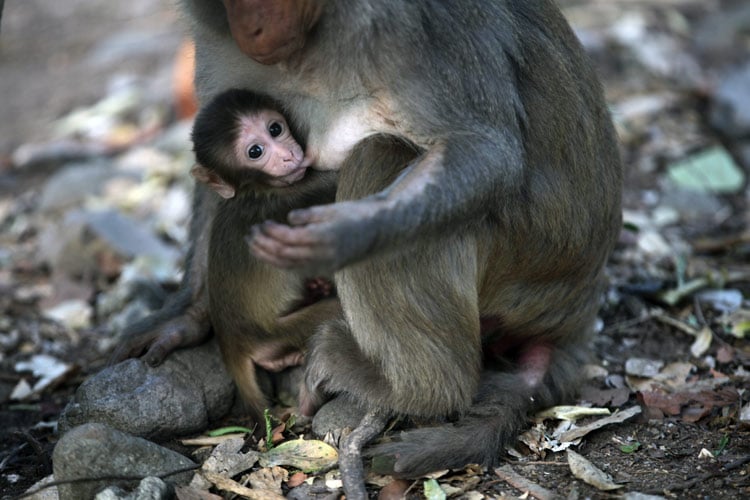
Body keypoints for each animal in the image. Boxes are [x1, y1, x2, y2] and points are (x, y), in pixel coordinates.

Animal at [191, 89, 340, 422]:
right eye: (255, 151)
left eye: (275, 128)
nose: (288, 155)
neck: (254, 189)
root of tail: (230, 342)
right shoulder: (304, 192)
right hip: (275, 333)